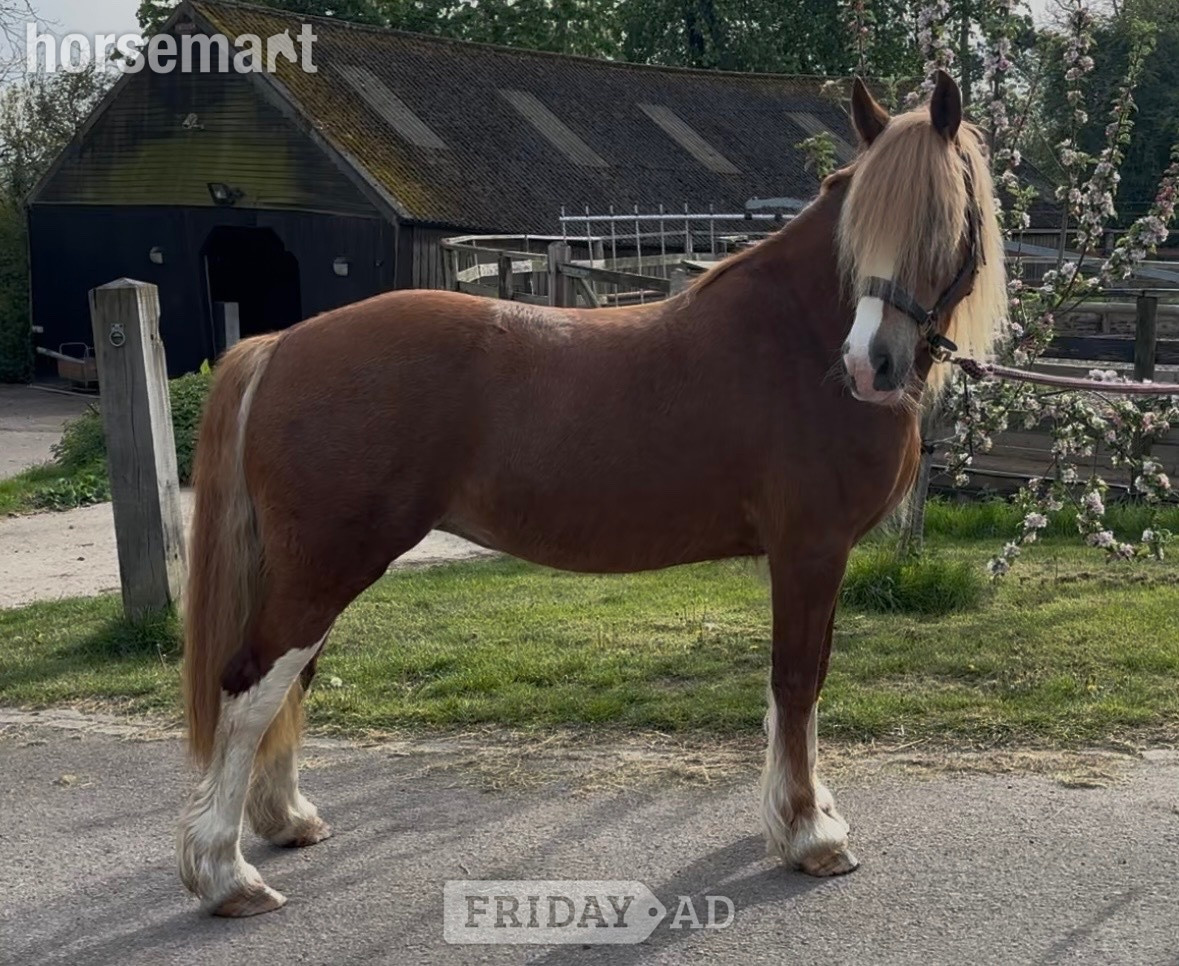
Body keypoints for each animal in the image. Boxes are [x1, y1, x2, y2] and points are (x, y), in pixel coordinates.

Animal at [177, 70, 1006, 916]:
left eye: (944, 221)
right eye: (860, 226)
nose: (870, 364)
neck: (797, 342)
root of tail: (280, 345)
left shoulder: (819, 555)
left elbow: (803, 683)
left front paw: (810, 815)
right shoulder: (809, 550)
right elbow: (797, 681)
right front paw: (809, 835)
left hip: (315, 570)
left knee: (287, 685)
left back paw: (287, 820)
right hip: (324, 569)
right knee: (250, 690)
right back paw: (226, 875)